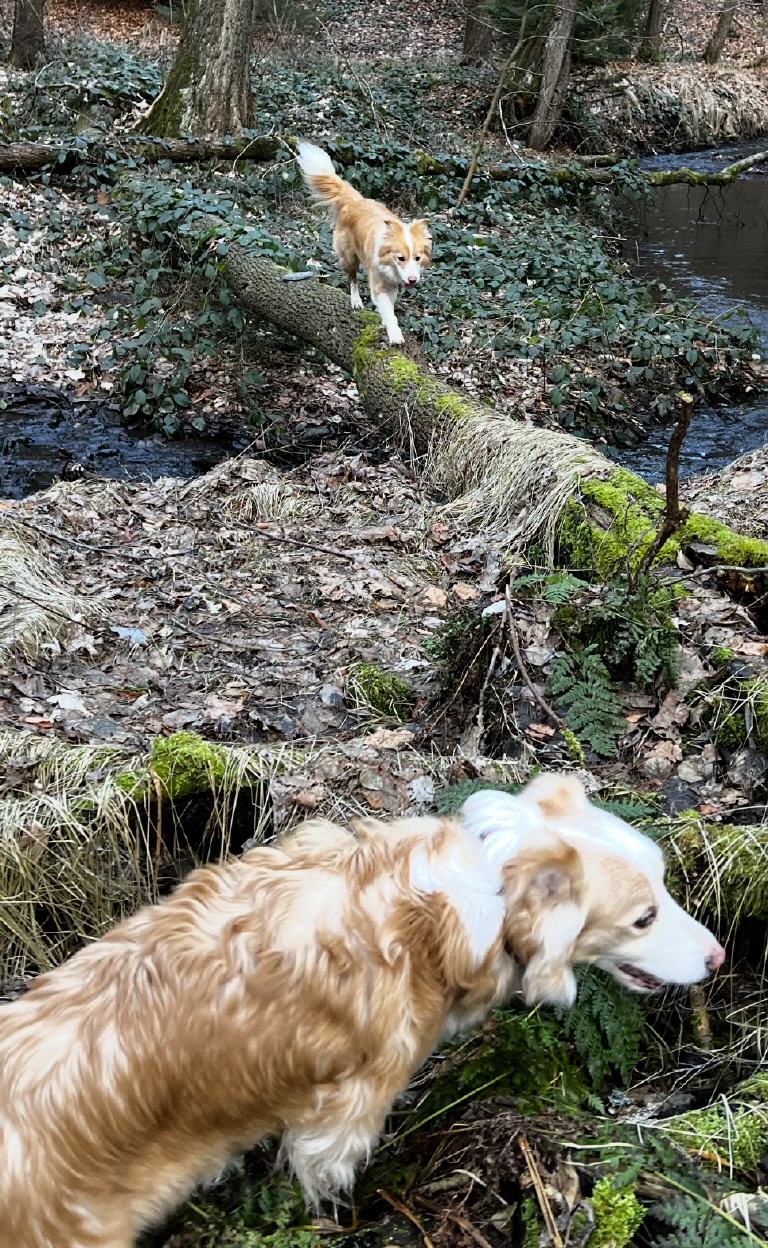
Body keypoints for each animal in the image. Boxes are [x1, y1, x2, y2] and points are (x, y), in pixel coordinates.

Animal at [296, 141, 431, 346]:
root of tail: (355, 201)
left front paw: (386, 321)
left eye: (417, 258)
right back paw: (356, 302)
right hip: (349, 257)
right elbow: (388, 311)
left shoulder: (392, 285)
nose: (412, 280)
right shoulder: (378, 284)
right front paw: (395, 334)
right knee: (352, 279)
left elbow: (390, 306)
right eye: (400, 258)